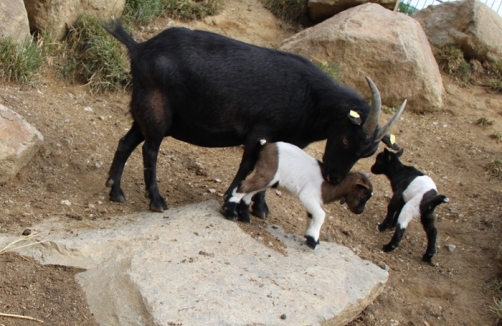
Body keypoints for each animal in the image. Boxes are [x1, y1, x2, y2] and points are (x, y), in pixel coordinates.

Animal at [104, 21, 406, 219]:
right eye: (344, 138)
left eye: (368, 153)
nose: (334, 177)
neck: (312, 98)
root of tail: (140, 48)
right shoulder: (258, 133)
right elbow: (247, 167)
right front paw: (232, 206)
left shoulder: (284, 141)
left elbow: (275, 171)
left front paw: (259, 208)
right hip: (157, 111)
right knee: (150, 149)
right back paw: (156, 200)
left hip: (144, 111)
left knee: (125, 142)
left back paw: (115, 190)